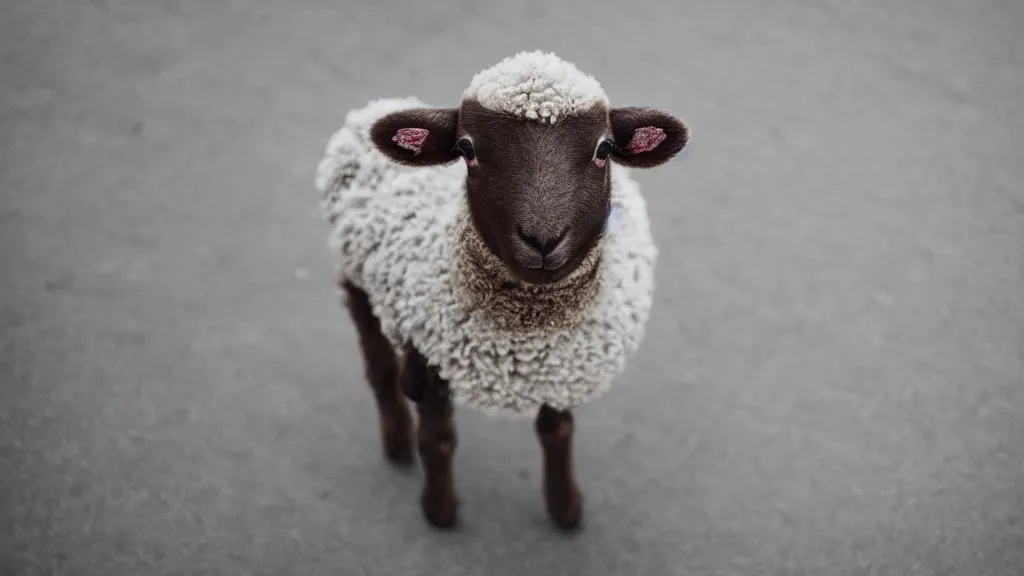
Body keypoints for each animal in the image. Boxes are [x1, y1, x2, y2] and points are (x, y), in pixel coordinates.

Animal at [315, 51, 692, 528]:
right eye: (466, 150)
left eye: (604, 149)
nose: (543, 239)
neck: (526, 330)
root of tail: (372, 109)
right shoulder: (434, 357)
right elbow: (438, 439)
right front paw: (440, 511)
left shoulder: (561, 366)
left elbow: (557, 431)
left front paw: (565, 508)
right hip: (355, 279)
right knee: (379, 365)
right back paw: (397, 440)